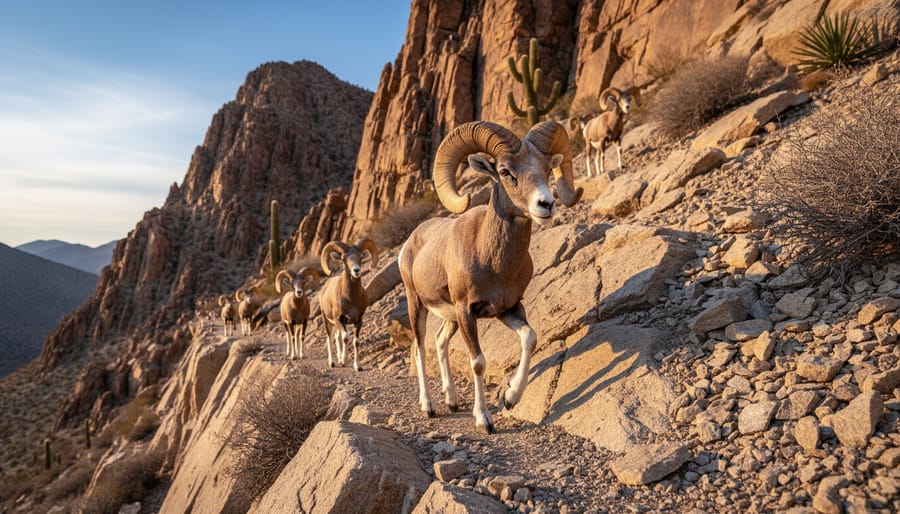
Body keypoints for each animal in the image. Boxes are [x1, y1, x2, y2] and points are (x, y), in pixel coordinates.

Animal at [318, 239, 379, 371]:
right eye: (343, 258)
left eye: (360, 257)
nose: (356, 270)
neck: (351, 299)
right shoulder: (339, 319)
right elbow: (345, 337)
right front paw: (344, 361)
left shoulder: (358, 320)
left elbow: (356, 342)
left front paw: (357, 366)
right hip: (326, 320)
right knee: (329, 337)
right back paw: (332, 362)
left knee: (337, 336)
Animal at [398, 120, 582, 433]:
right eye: (506, 172)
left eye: (547, 169)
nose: (546, 204)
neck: (493, 262)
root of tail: (410, 243)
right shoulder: (467, 311)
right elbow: (478, 363)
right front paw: (484, 419)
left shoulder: (508, 308)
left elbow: (530, 338)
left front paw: (510, 398)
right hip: (418, 305)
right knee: (420, 348)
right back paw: (429, 407)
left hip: (450, 318)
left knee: (439, 342)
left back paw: (452, 401)